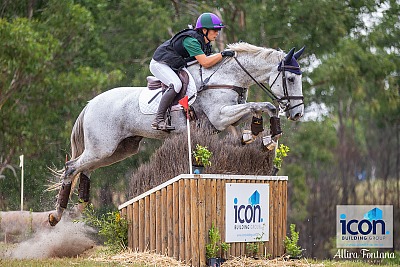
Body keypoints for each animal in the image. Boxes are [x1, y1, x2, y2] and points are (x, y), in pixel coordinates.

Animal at [49, 42, 306, 226]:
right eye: (291, 78)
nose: (298, 113)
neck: (225, 77)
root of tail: (90, 104)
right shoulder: (219, 116)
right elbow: (262, 105)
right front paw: (265, 136)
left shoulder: (225, 118)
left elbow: (260, 109)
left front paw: (259, 137)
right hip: (102, 147)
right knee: (72, 167)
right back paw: (56, 215)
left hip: (119, 149)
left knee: (85, 169)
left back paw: (79, 209)